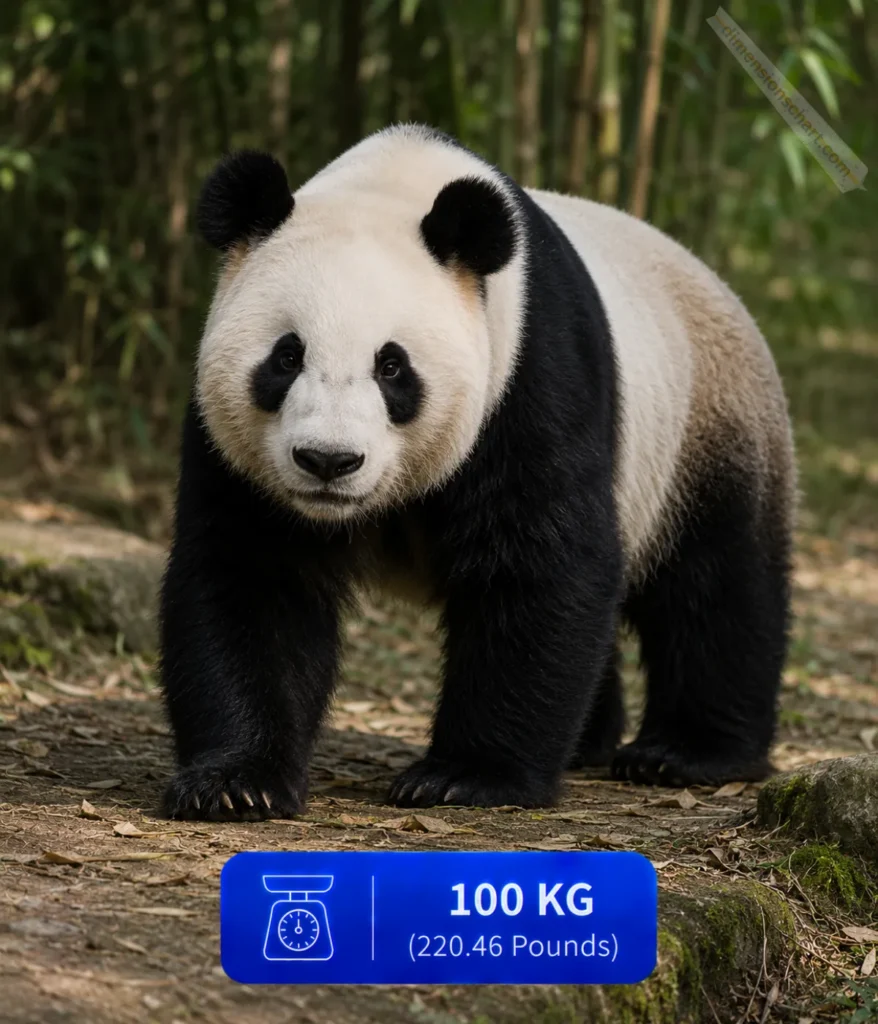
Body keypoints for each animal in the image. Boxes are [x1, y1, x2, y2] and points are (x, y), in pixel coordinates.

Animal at [160, 124, 796, 821]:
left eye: (392, 366)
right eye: (286, 356)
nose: (328, 461)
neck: (394, 185)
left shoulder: (530, 379)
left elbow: (538, 565)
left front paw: (465, 777)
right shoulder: (232, 446)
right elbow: (252, 575)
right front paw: (237, 782)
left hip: (704, 428)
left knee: (716, 586)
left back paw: (685, 754)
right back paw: (587, 742)